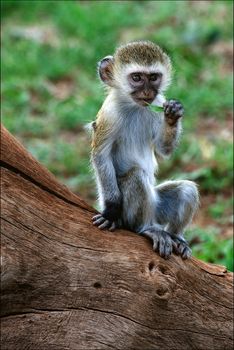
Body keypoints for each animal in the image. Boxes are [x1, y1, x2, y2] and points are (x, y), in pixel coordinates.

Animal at [90, 41, 198, 260]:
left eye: (154, 77)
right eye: (137, 78)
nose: (148, 93)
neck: (134, 107)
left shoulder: (158, 103)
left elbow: (164, 149)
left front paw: (173, 114)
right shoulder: (109, 115)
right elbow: (101, 155)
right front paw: (111, 211)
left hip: (158, 206)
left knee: (187, 190)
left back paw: (176, 237)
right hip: (130, 213)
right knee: (137, 177)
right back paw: (146, 229)